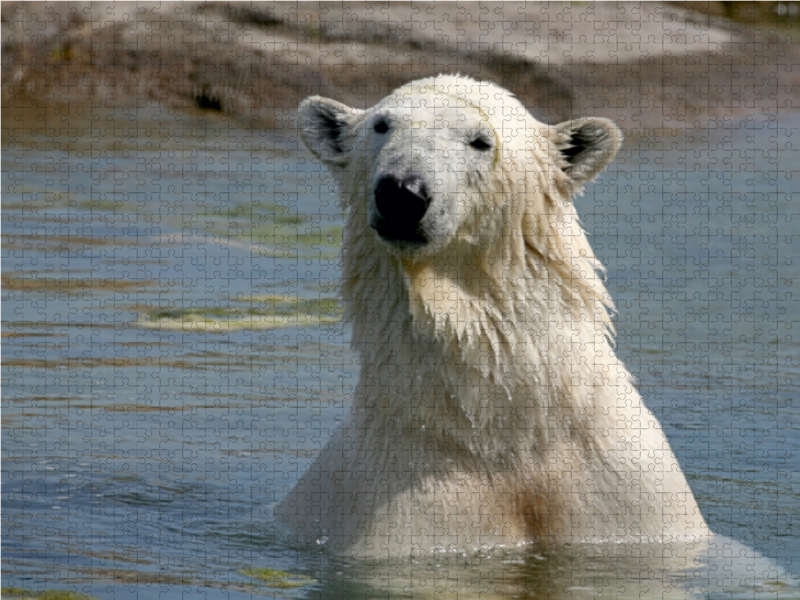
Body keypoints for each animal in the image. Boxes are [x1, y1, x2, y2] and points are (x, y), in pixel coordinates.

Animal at [274, 75, 708, 556]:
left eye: (480, 141)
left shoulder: (629, 503)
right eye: (382, 126)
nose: (402, 193)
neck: (506, 432)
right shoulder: (399, 511)